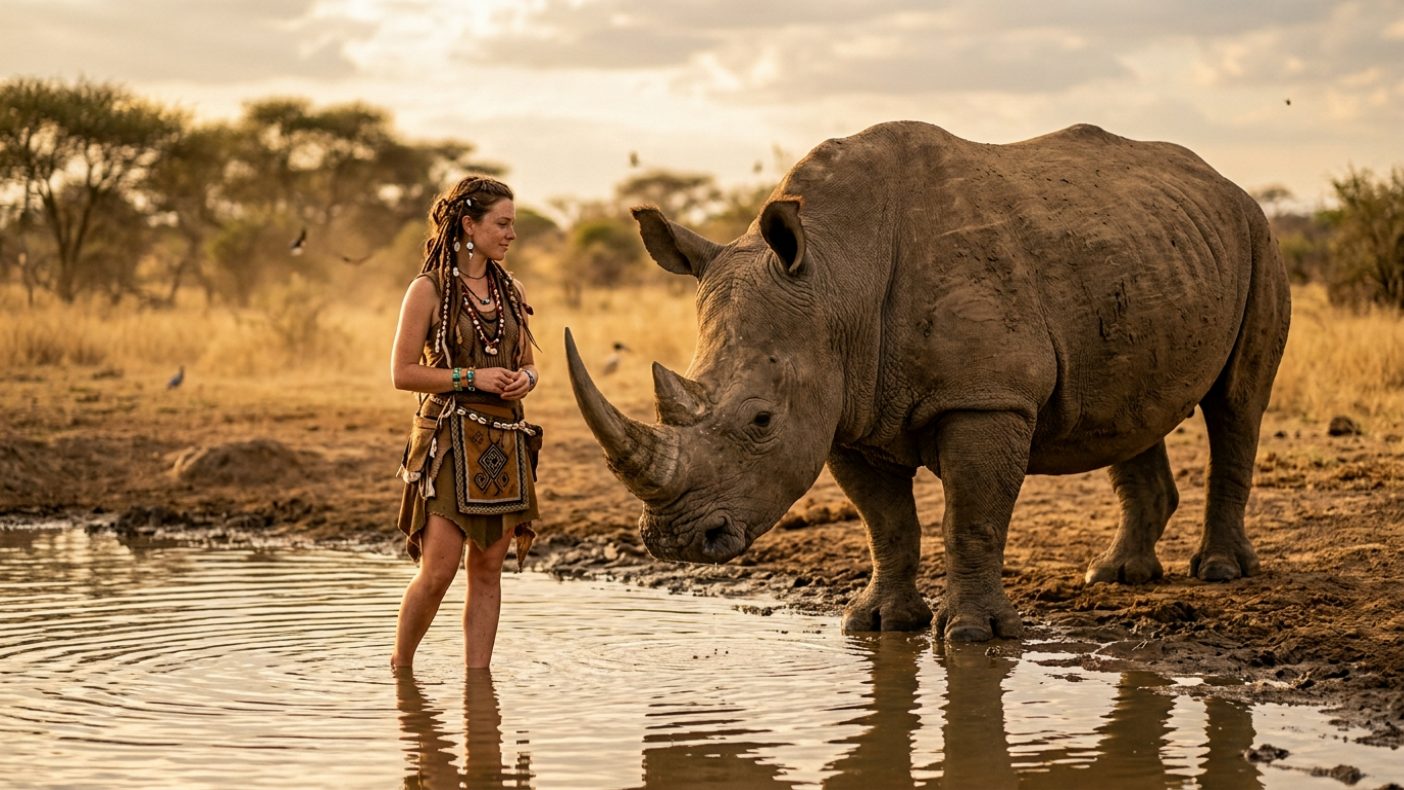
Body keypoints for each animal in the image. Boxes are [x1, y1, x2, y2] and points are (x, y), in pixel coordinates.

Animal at [565, 121, 1290, 641]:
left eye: (761, 420)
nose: (677, 542)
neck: (835, 275)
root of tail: (1226, 183)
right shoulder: (847, 413)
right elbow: (886, 523)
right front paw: (879, 624)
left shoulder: (986, 398)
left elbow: (971, 517)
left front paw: (972, 636)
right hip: (1145, 252)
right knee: (1129, 405)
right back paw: (1114, 577)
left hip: (1257, 236)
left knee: (1237, 403)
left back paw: (1218, 572)